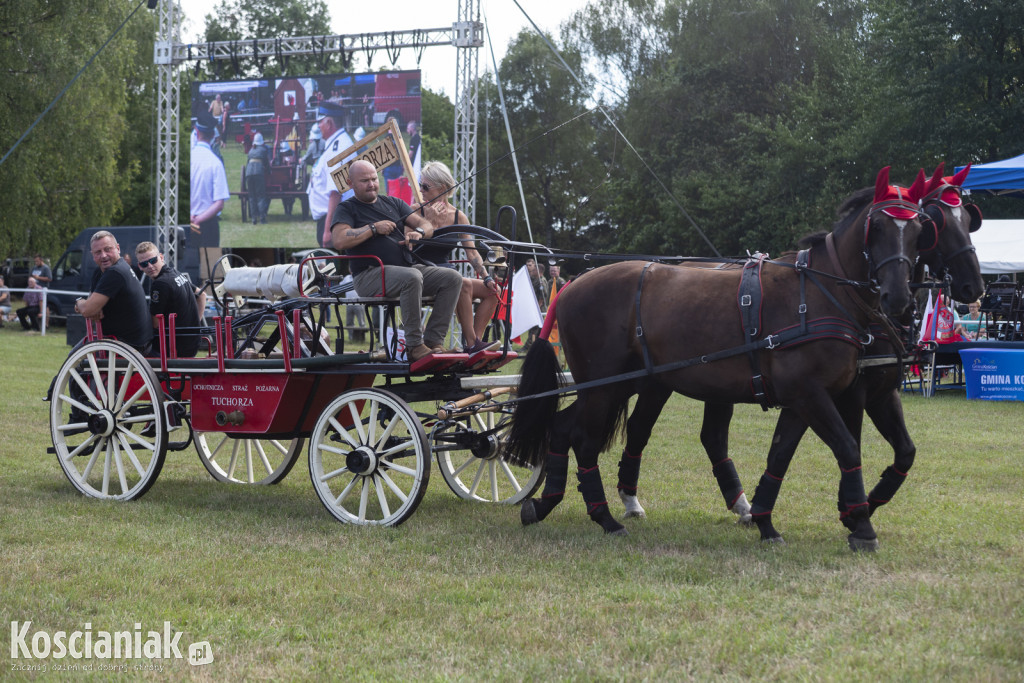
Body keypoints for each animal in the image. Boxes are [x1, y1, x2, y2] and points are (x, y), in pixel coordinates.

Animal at [509, 165, 929, 548]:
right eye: (877, 227)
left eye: (919, 232)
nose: (899, 297)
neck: (819, 293)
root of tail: (571, 285)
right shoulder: (811, 395)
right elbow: (847, 447)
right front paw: (862, 525)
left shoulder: (805, 400)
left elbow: (780, 456)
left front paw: (765, 521)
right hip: (602, 388)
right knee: (583, 438)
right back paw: (604, 517)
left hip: (619, 385)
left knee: (564, 428)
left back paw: (546, 504)